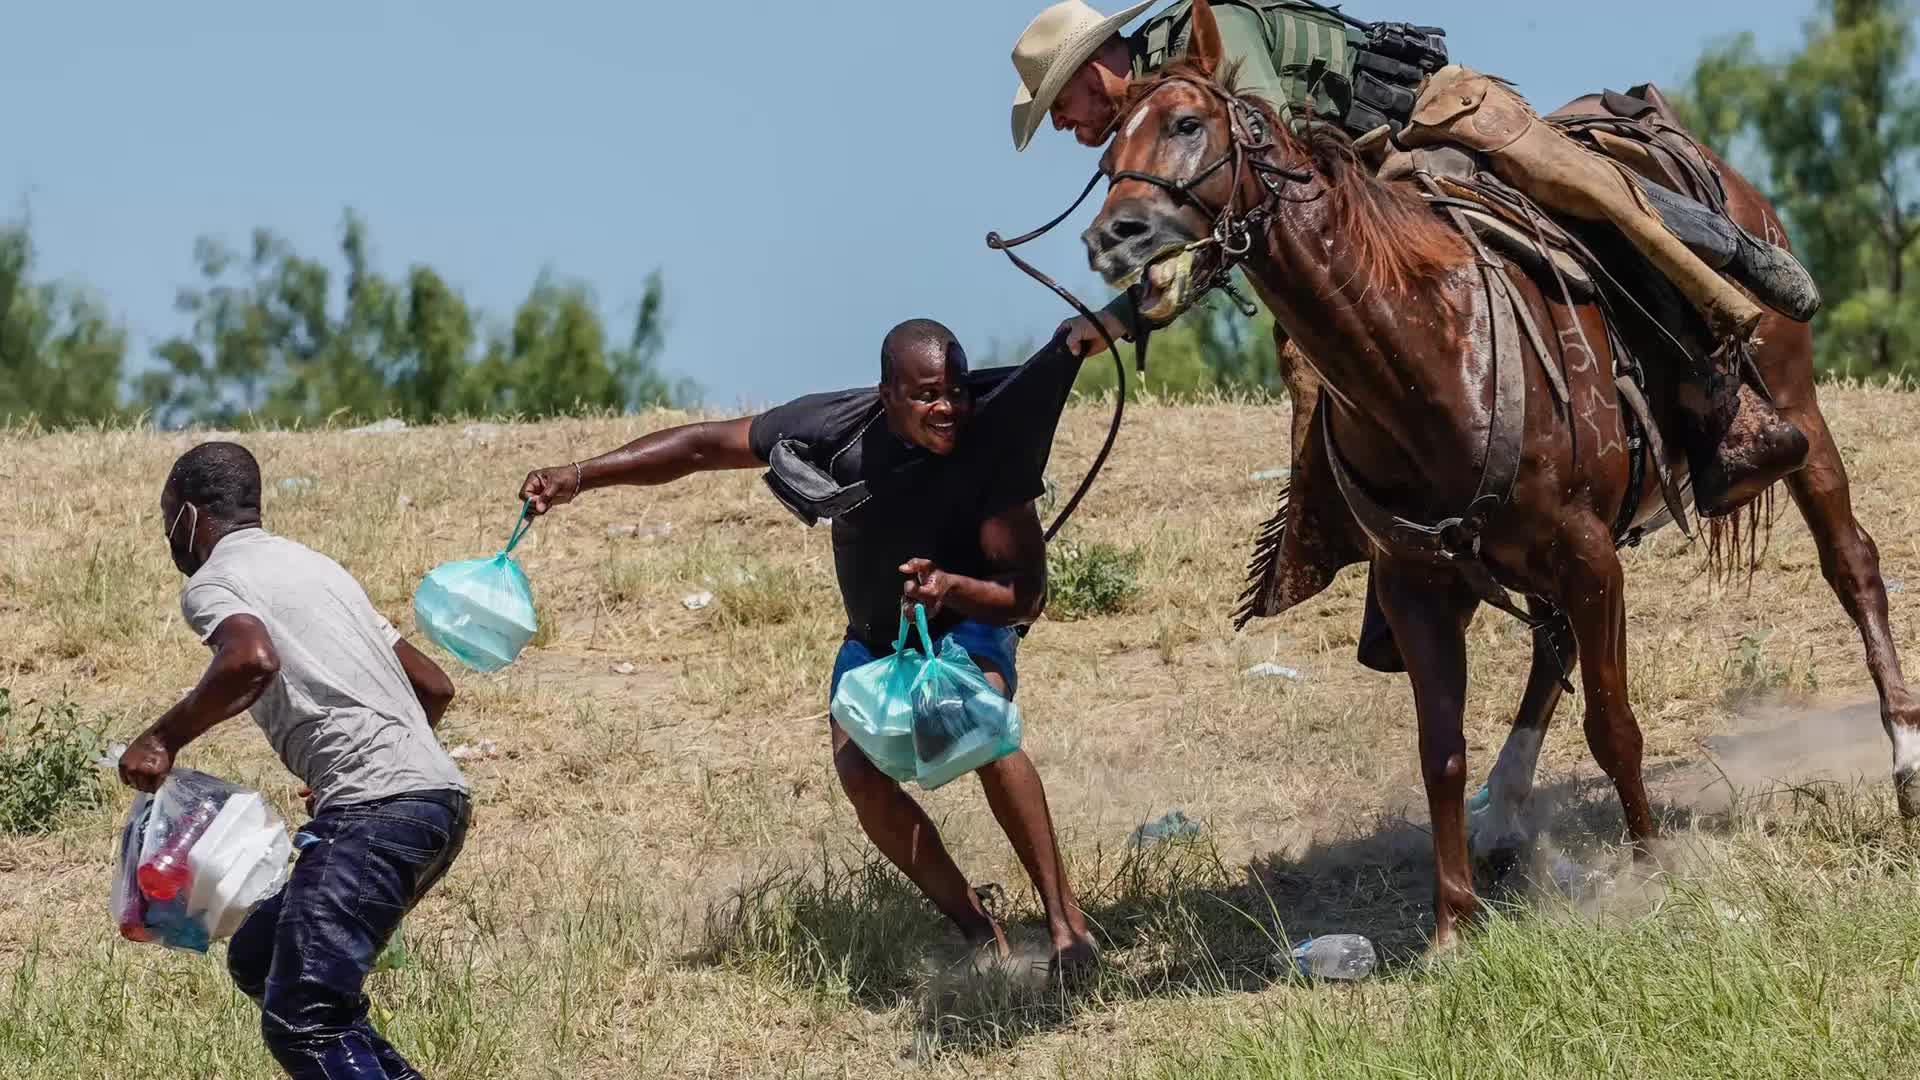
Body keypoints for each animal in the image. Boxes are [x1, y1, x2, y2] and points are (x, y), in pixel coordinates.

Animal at [1082, 0, 1920, 941]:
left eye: (1189, 124)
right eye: (1107, 154)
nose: (1112, 236)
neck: (1429, 352)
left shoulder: (1588, 556)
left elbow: (1613, 724)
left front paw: (1652, 870)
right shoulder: (1418, 583)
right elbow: (1441, 751)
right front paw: (1452, 924)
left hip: (1796, 411)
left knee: (1852, 564)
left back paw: (1904, 760)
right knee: (1552, 647)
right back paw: (1506, 812)